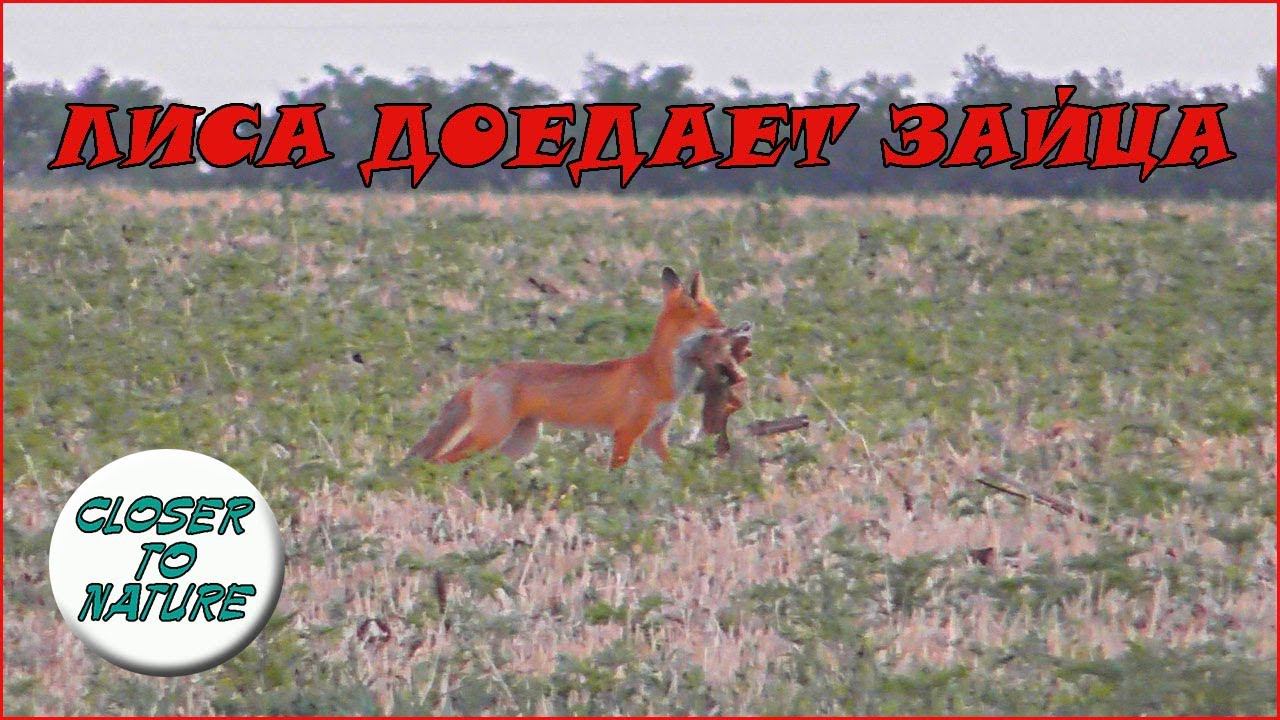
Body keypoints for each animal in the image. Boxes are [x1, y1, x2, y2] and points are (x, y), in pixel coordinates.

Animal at [407, 267, 725, 468]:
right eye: (716, 323)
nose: (735, 330)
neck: (658, 374)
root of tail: (484, 374)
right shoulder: (626, 432)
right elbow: (617, 473)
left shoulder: (654, 435)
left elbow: (674, 470)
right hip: (489, 435)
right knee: (437, 460)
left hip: (521, 442)